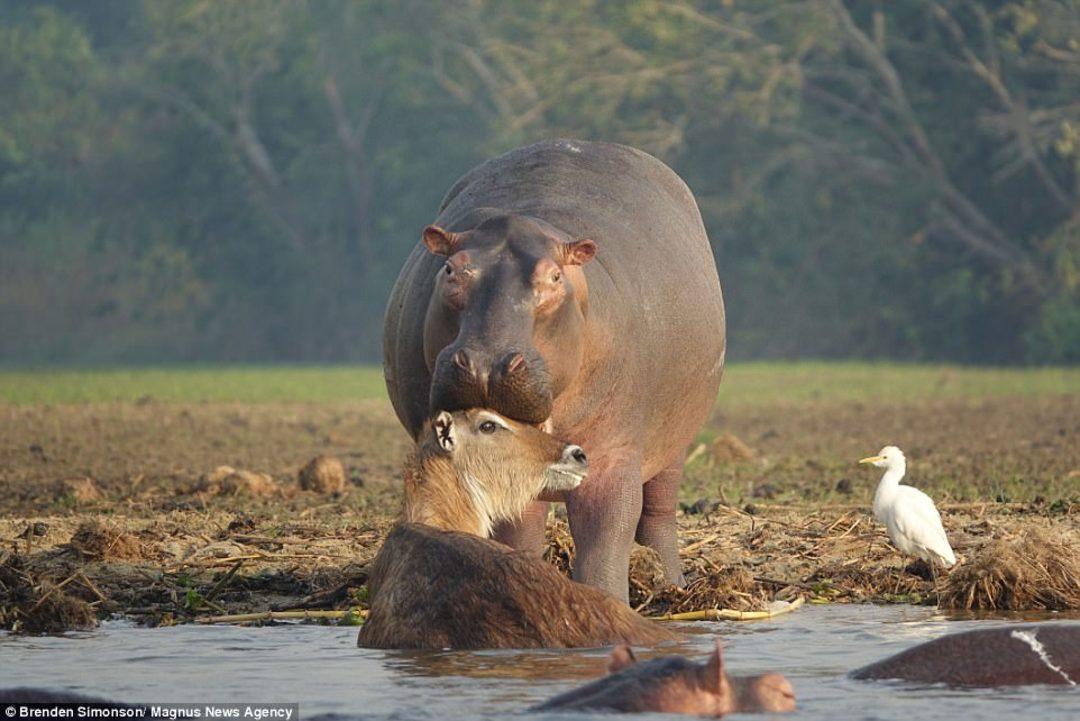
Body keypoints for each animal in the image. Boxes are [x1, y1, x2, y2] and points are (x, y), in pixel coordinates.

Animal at [382, 138, 725, 600]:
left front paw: (608, 600)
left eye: (555, 277)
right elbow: (516, 529)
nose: (486, 363)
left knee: (659, 510)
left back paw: (671, 584)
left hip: (675, 438)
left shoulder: (615, 452)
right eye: (451, 270)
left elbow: (607, 536)